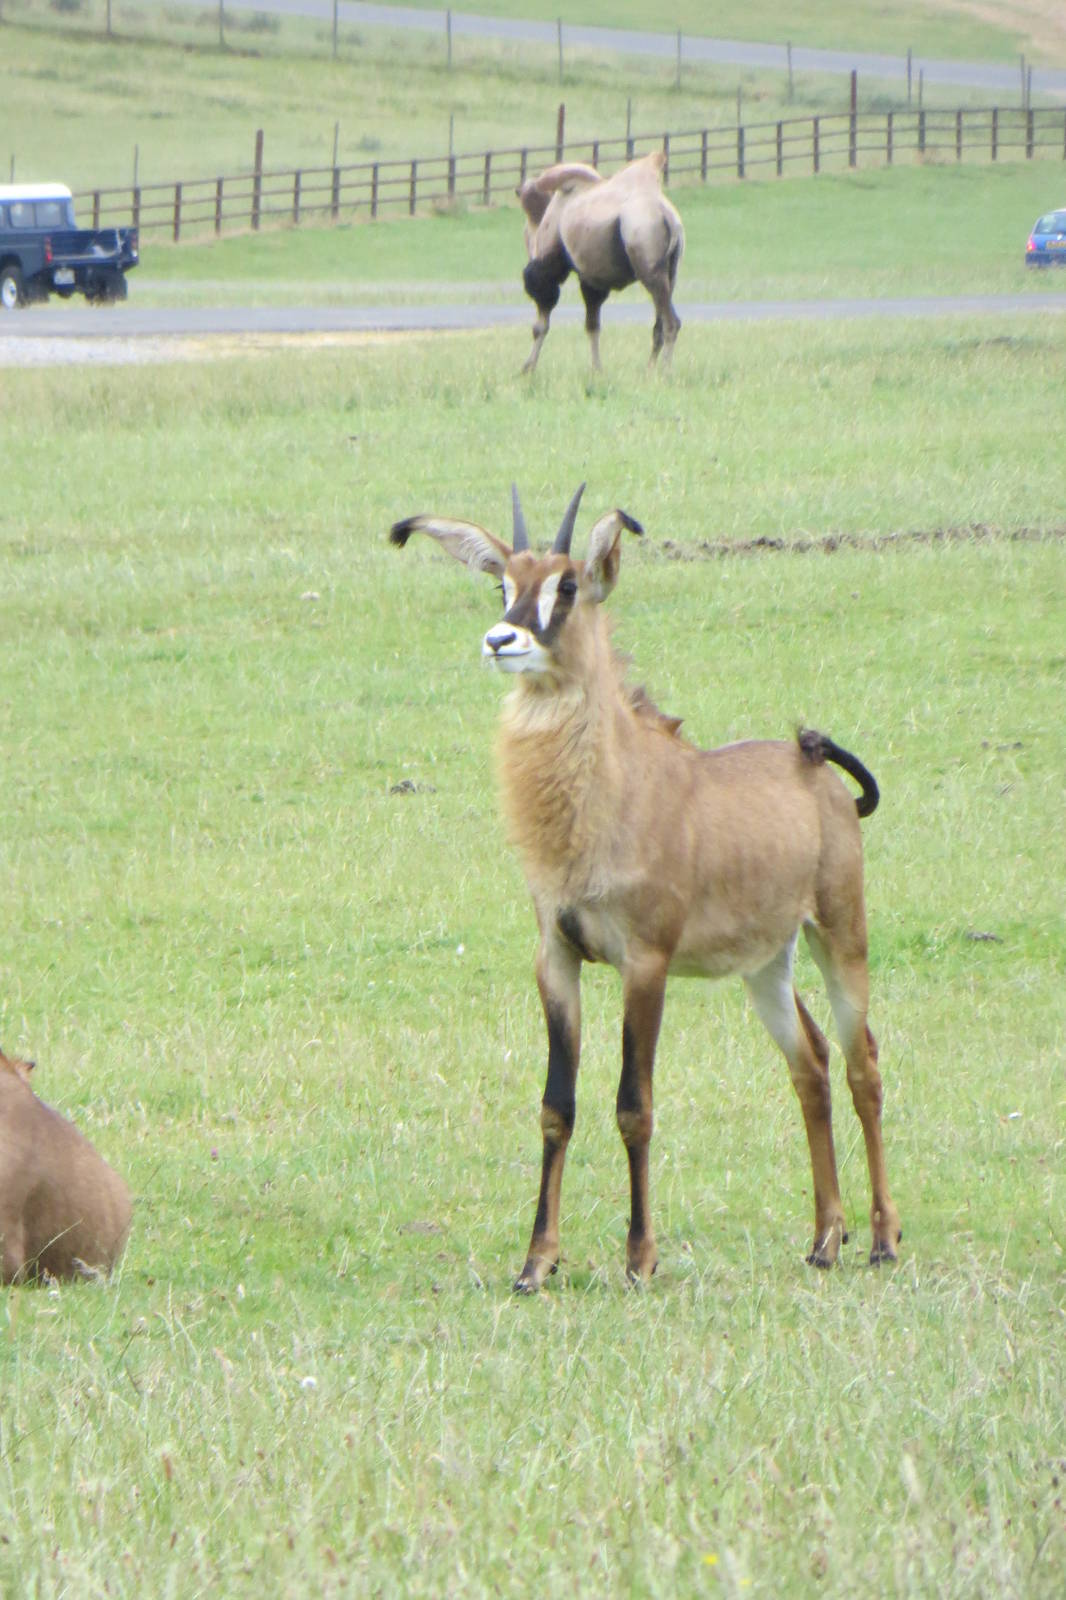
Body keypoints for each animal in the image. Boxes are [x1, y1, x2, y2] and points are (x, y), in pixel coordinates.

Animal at [389, 487, 901, 1290]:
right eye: (503, 583)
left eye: (568, 586)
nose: (502, 640)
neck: (610, 795)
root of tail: (812, 760)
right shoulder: (557, 959)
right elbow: (556, 1106)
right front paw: (537, 1262)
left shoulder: (646, 964)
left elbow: (635, 1104)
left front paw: (639, 1257)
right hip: (767, 968)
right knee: (811, 1066)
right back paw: (824, 1239)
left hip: (840, 936)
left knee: (862, 1066)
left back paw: (881, 1239)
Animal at [518, 150, 684, 373]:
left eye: (534, 287)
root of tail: (668, 218)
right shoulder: (594, 280)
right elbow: (593, 325)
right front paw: (597, 370)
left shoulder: (578, 275)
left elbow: (562, 325)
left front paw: (528, 366)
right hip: (670, 272)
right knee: (659, 324)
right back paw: (649, 369)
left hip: (648, 265)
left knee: (671, 323)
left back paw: (664, 372)